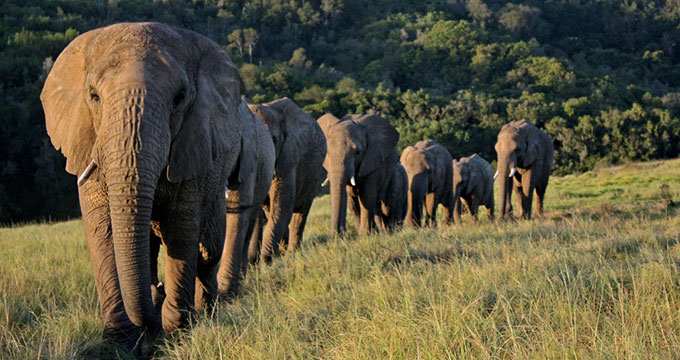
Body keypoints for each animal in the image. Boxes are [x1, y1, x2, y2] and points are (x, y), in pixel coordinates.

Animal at [39, 23, 250, 352]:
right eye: (94, 96)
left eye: (179, 98)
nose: (158, 294)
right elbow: (103, 231)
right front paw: (122, 342)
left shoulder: (193, 140)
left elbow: (181, 228)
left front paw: (176, 332)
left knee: (208, 249)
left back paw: (206, 311)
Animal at [246, 97, 328, 262]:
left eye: (274, 140)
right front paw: (256, 262)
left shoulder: (289, 157)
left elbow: (282, 204)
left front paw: (265, 261)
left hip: (314, 174)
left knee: (300, 212)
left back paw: (291, 253)